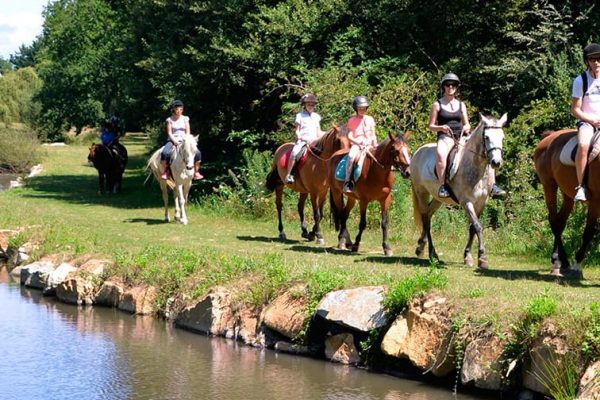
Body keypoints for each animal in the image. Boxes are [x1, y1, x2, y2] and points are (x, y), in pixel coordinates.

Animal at [408, 112, 506, 268]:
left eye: (502, 137)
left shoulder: (481, 202)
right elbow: (477, 226)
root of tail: (418, 152)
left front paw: (468, 256)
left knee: (428, 215)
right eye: (486, 137)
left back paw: (420, 247)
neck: (476, 169)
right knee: (425, 219)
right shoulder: (466, 202)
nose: (496, 162)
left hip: (437, 198)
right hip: (421, 192)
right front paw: (482, 257)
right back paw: (432, 253)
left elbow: (472, 228)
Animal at [532, 128, 596, 278]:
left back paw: (561, 262)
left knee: (560, 221)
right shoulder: (596, 202)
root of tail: (550, 135)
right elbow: (588, 233)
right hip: (549, 185)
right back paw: (558, 262)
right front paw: (577, 267)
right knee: (554, 220)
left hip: (567, 194)